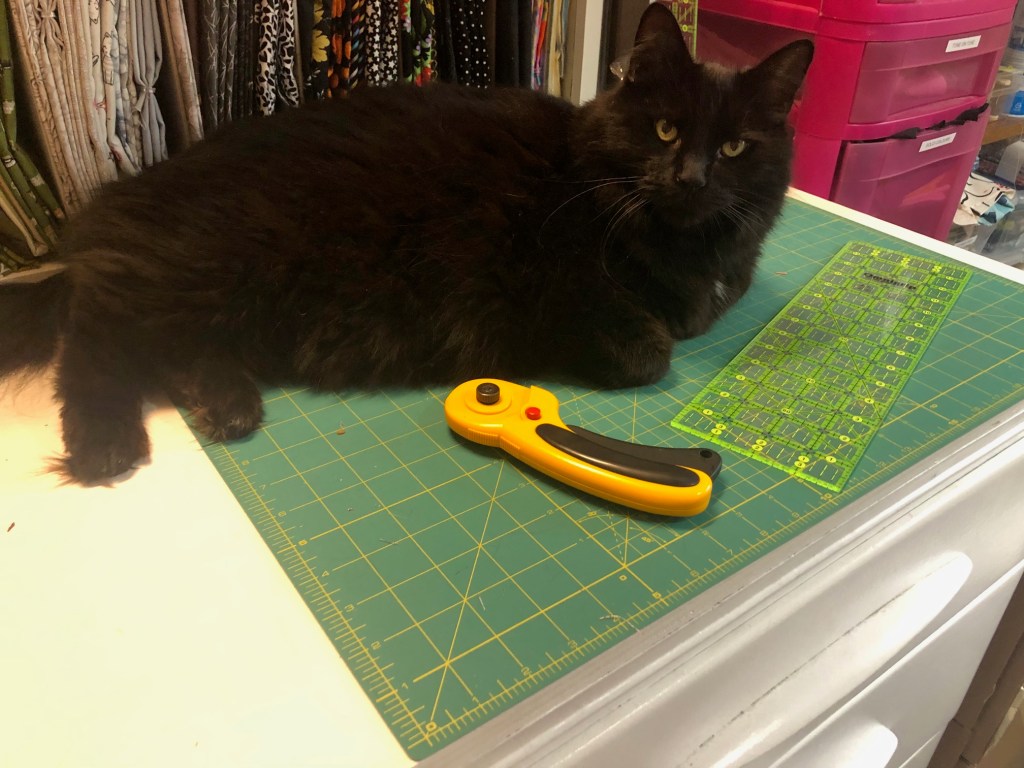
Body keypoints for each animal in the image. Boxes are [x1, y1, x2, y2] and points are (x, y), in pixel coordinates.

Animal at [0, 3, 812, 484]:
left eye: (735, 148)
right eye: (666, 130)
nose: (690, 177)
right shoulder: (560, 284)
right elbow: (649, 351)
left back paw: (226, 407)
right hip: (208, 265)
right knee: (93, 333)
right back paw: (105, 444)